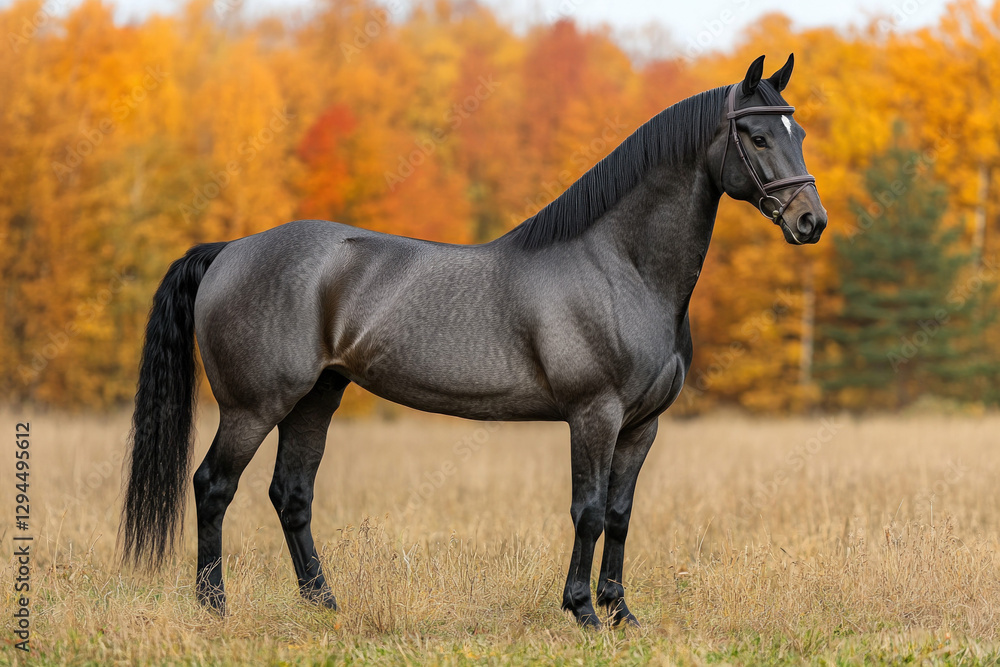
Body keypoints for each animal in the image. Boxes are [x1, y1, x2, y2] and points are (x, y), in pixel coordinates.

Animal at [120, 53, 826, 628]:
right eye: (757, 135)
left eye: (799, 133)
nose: (809, 222)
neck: (620, 267)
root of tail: (230, 250)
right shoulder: (593, 415)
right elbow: (589, 510)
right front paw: (581, 612)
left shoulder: (641, 425)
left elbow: (621, 515)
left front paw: (621, 612)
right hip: (254, 405)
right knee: (213, 485)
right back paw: (214, 607)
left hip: (316, 398)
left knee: (290, 495)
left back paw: (325, 604)